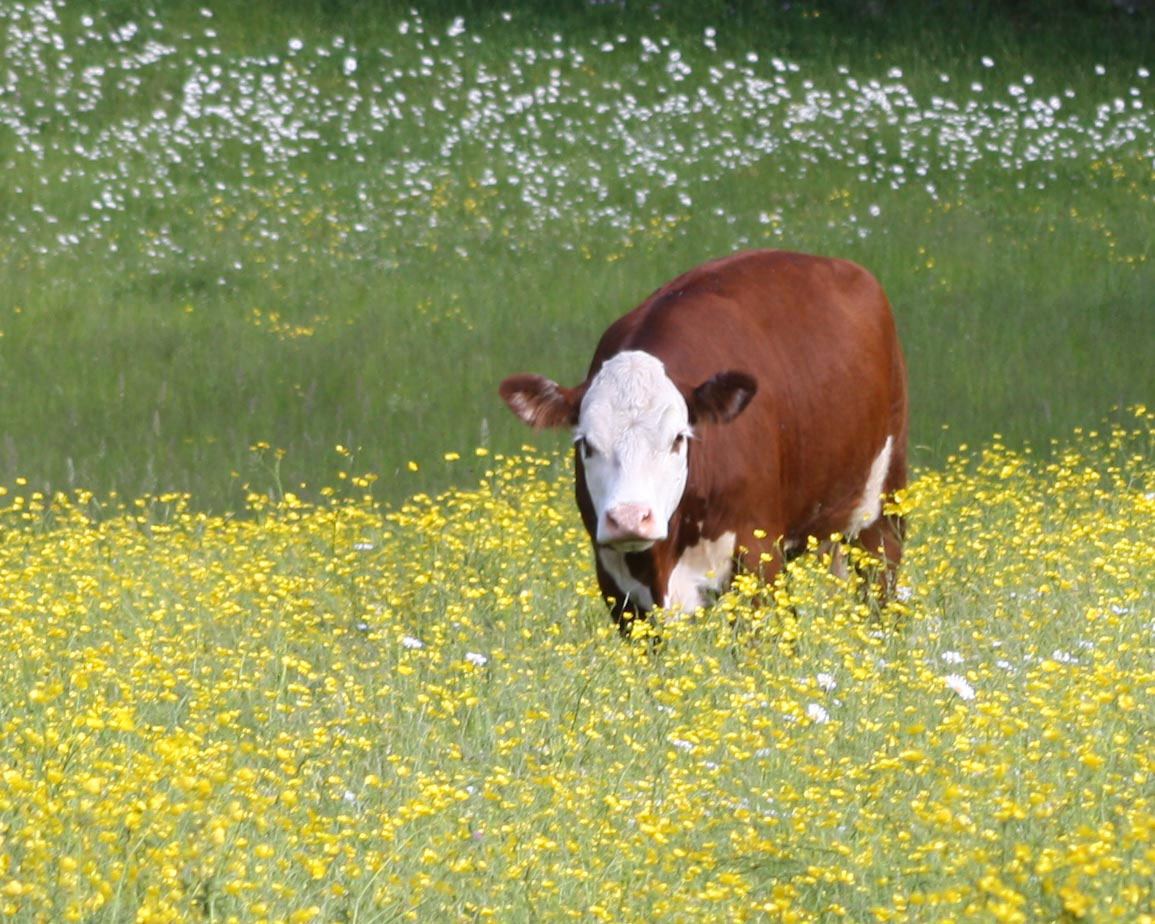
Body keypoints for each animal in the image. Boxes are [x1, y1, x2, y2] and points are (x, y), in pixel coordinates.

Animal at [499, 249, 908, 628]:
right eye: (586, 443)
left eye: (678, 439)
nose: (630, 518)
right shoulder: (616, 584)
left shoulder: (757, 557)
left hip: (882, 508)